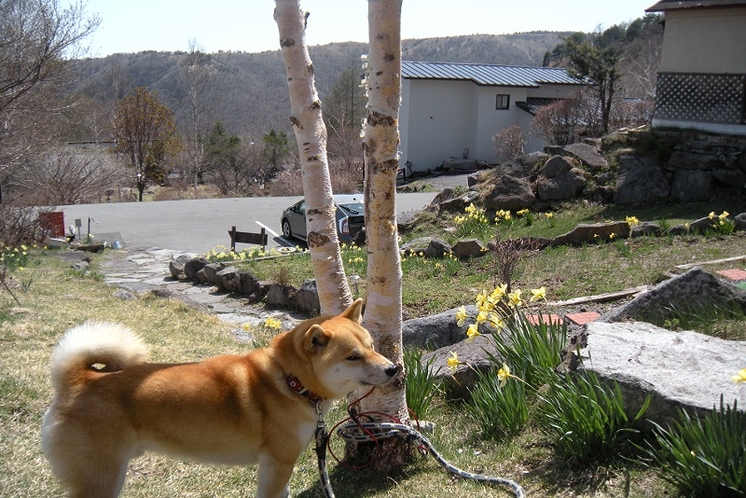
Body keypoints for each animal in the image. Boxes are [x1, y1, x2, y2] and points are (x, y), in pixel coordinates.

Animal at [42, 300, 398, 498]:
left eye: (371, 346)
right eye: (353, 357)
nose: (394, 369)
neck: (290, 381)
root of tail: (79, 379)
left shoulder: (279, 466)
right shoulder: (277, 463)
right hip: (101, 478)